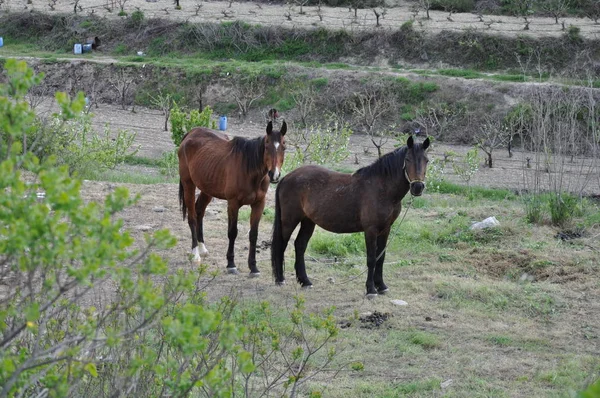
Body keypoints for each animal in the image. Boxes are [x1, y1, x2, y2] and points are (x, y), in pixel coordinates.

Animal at [179, 120, 288, 274]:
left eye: (284, 147)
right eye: (267, 146)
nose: (274, 175)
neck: (249, 171)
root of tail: (191, 133)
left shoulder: (259, 204)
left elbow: (253, 234)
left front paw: (253, 267)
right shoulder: (233, 204)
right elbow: (232, 232)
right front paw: (231, 264)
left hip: (207, 189)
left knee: (199, 211)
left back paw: (202, 248)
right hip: (188, 184)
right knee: (192, 217)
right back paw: (195, 254)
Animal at [270, 136, 428, 296]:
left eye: (426, 160)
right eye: (407, 159)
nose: (418, 187)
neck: (382, 188)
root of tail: (286, 177)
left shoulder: (386, 229)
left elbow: (381, 257)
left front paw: (381, 286)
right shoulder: (371, 230)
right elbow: (371, 259)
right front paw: (371, 290)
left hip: (308, 221)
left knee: (300, 245)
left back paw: (305, 281)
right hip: (289, 220)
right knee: (281, 244)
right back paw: (280, 279)